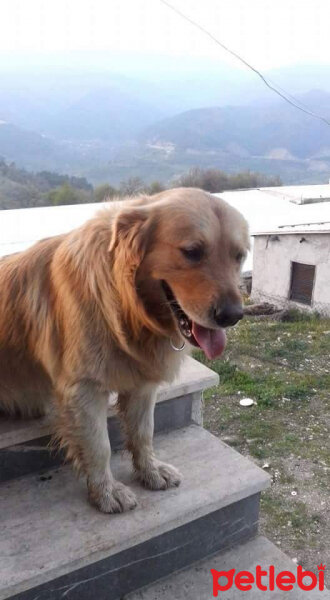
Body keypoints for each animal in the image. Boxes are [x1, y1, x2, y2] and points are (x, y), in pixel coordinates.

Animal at [0, 188, 248, 510]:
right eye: (193, 251)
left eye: (239, 256)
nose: (233, 315)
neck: (127, 305)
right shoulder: (84, 390)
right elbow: (99, 447)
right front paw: (106, 492)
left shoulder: (142, 382)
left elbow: (144, 433)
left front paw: (150, 471)